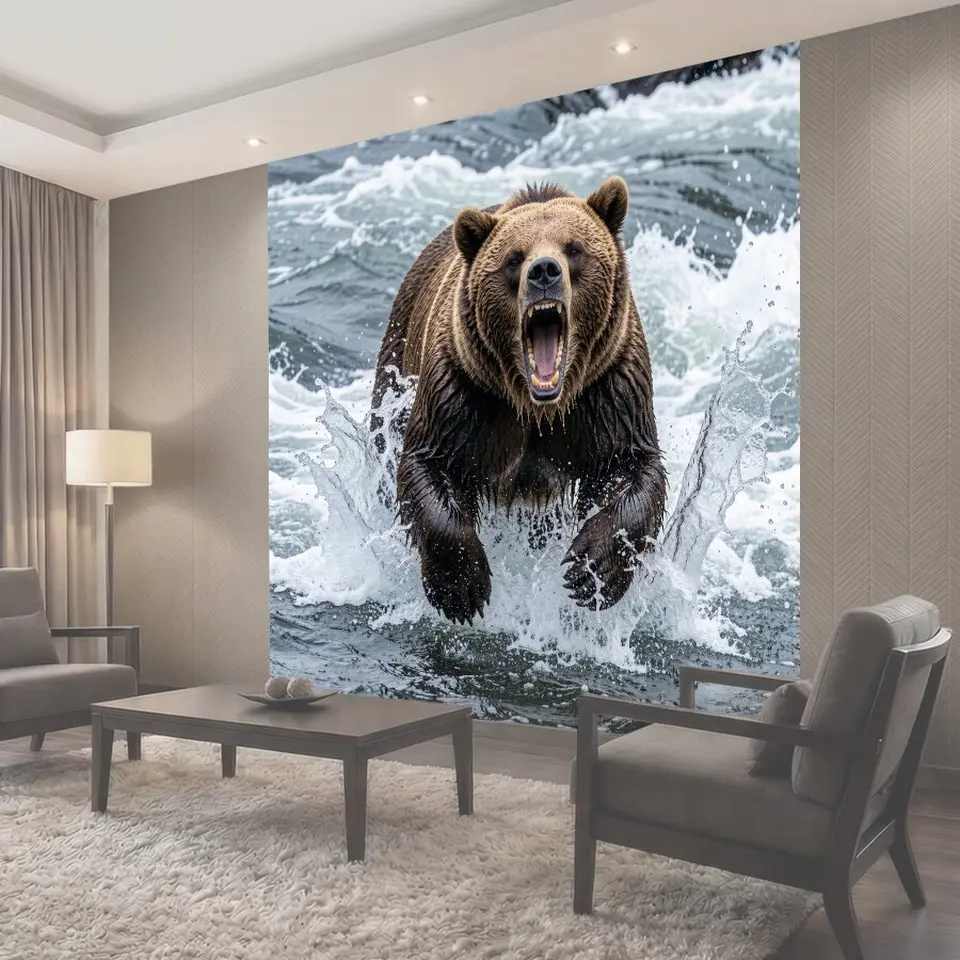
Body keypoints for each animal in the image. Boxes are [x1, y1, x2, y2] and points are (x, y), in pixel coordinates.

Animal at [371, 176, 667, 625]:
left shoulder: (610, 391)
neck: (537, 406)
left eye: (575, 249)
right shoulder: (463, 392)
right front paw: (462, 588)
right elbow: (428, 464)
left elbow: (634, 468)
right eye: (514, 258)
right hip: (399, 353)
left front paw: (590, 571)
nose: (544, 271)